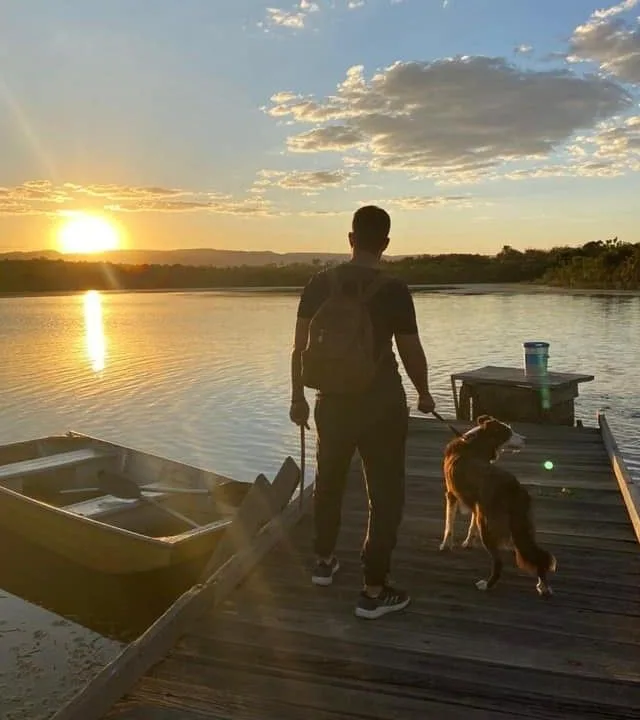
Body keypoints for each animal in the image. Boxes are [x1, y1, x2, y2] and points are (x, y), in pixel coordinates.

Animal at [440, 416, 556, 596]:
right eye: (508, 432)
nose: (526, 439)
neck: (475, 443)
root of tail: (513, 488)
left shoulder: (451, 494)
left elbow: (449, 525)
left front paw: (445, 545)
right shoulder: (476, 505)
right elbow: (470, 526)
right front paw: (468, 542)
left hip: (488, 526)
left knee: (498, 562)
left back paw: (486, 585)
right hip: (521, 526)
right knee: (536, 556)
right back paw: (543, 586)